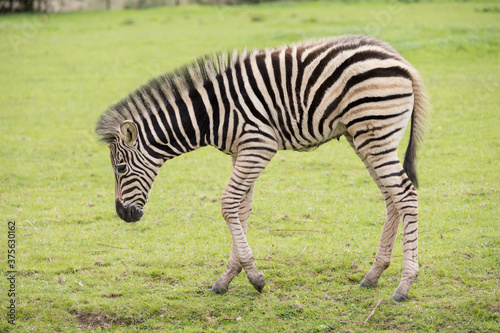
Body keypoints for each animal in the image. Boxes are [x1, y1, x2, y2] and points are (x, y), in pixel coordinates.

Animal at [96, 34, 430, 300]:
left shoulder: (259, 145)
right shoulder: (241, 152)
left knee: (405, 195)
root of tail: (399, 59)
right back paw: (374, 274)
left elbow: (228, 204)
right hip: (363, 138)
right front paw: (228, 278)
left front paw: (254, 277)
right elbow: (240, 209)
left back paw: (404, 285)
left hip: (374, 133)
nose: (122, 214)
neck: (211, 114)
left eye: (121, 169)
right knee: (391, 197)